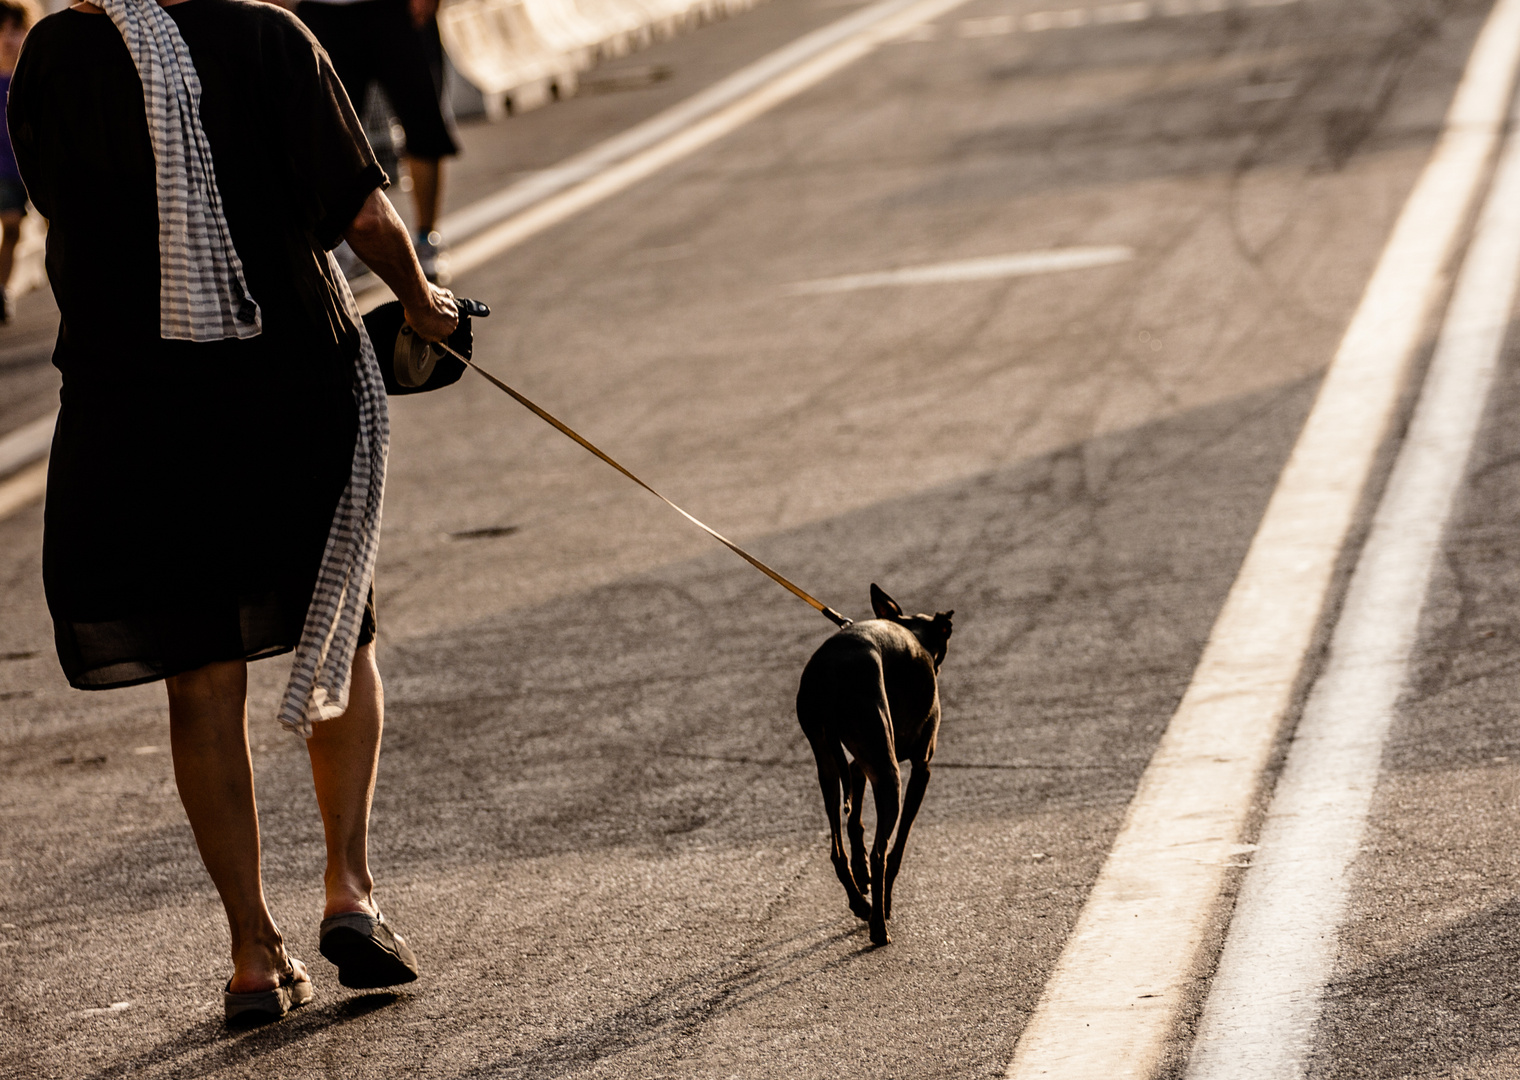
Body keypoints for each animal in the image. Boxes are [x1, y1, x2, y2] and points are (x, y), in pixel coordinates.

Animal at [796, 583, 948, 947]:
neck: (912, 631)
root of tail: (829, 671)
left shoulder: (859, 766)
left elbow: (855, 823)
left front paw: (861, 872)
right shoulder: (922, 768)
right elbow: (896, 850)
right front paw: (885, 898)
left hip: (829, 763)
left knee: (836, 850)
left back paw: (860, 902)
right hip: (889, 773)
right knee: (882, 853)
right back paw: (878, 926)